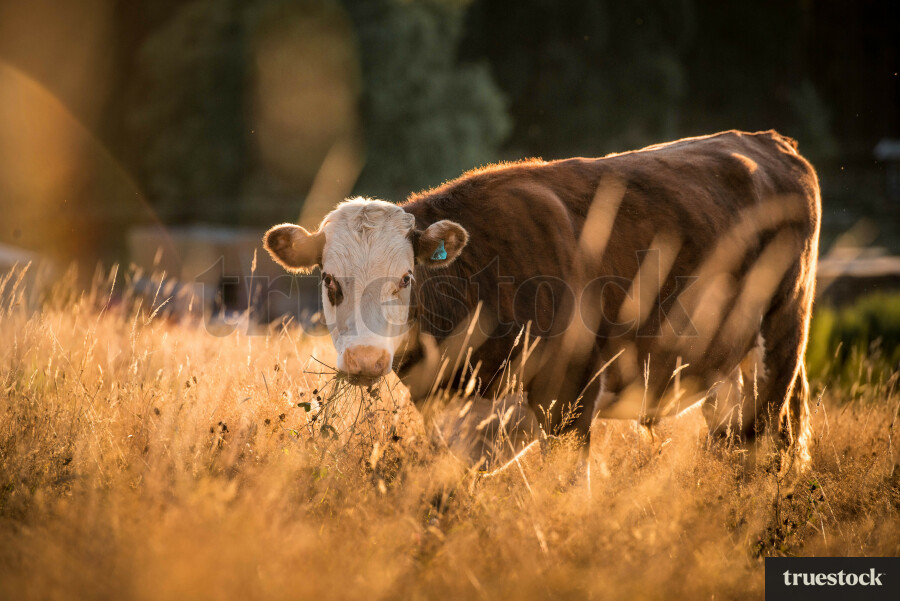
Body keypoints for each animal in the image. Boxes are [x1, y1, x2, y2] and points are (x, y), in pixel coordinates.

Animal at [263, 130, 820, 469]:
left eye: (405, 278)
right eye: (330, 281)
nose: (364, 361)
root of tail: (767, 141)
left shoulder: (571, 398)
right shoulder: (447, 415)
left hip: (780, 346)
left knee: (766, 439)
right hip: (725, 368)